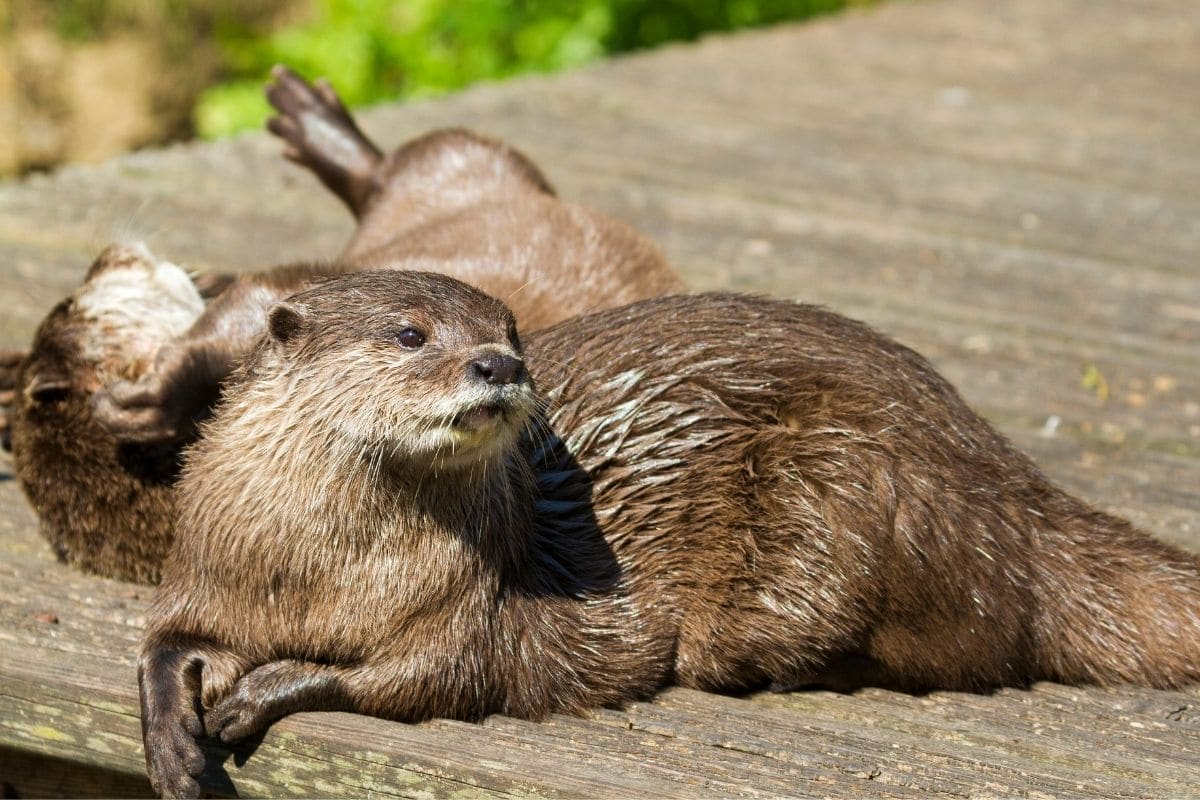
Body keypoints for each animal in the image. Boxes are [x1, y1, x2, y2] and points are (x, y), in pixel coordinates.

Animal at [1, 66, 680, 583]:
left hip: (466, 162)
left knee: (402, 164)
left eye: (67, 301)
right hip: (468, 164)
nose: (104, 255)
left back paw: (310, 117)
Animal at [141, 270, 1200, 798]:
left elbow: (413, 679)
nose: (498, 364)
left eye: (510, 328)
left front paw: (264, 690)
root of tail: (1011, 477)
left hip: (854, 483)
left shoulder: (468, 615)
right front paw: (172, 739)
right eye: (409, 334)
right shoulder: (206, 571)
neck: (315, 575)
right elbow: (161, 642)